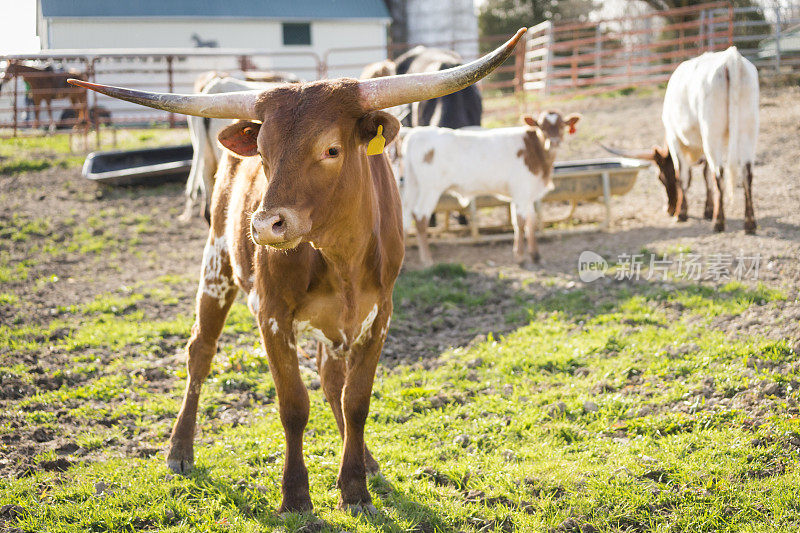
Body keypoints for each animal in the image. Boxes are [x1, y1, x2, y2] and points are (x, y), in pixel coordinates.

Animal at [69, 28, 528, 512]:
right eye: (262, 153)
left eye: (332, 149)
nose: (265, 225)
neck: (341, 256)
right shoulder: (271, 314)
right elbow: (293, 406)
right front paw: (295, 495)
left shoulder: (378, 315)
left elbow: (355, 401)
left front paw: (355, 487)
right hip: (216, 262)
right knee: (200, 351)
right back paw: (180, 449)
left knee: (329, 379)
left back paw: (367, 462)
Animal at [404, 109, 580, 266]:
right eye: (541, 126)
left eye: (562, 125)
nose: (554, 142)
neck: (535, 152)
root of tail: (417, 133)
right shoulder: (521, 191)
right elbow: (520, 222)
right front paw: (520, 257)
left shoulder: (529, 193)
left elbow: (531, 221)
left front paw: (536, 255)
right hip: (430, 188)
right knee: (420, 216)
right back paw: (427, 260)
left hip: (412, 185)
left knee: (405, 216)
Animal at [608, 47, 756, 233]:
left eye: (661, 178)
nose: (669, 209)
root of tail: (731, 58)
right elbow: (705, 175)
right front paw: (706, 210)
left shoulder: (674, 139)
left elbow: (683, 176)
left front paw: (682, 213)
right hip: (747, 131)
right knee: (746, 173)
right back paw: (750, 223)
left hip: (712, 134)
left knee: (719, 174)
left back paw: (719, 222)